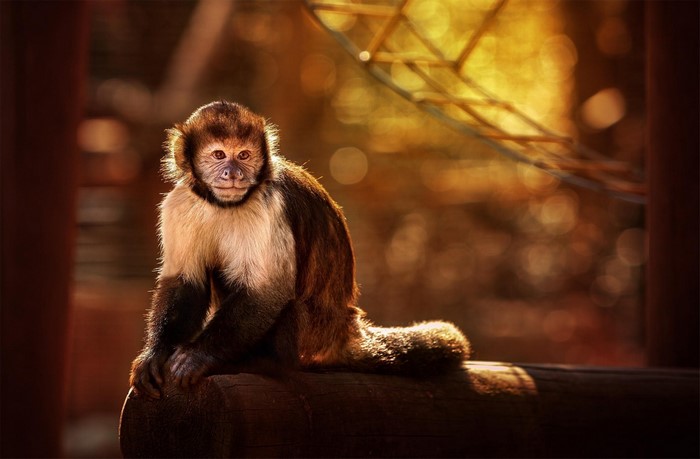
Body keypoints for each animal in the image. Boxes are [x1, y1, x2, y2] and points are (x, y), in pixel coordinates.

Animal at [129, 101, 470, 398]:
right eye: (218, 155)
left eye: (244, 155)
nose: (233, 173)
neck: (224, 205)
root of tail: (345, 330)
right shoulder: (180, 203)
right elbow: (184, 281)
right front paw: (155, 355)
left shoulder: (270, 205)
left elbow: (268, 291)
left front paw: (199, 356)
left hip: (316, 336)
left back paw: (264, 363)